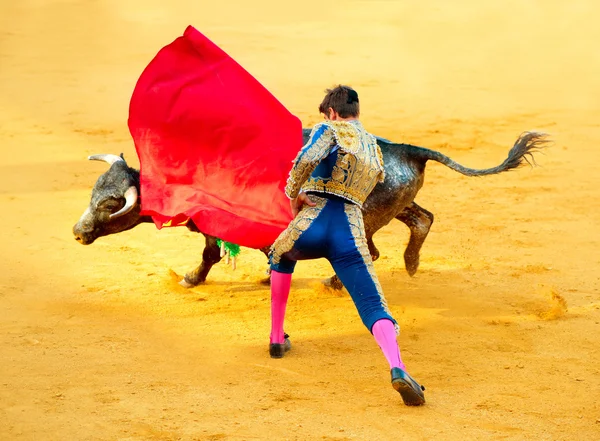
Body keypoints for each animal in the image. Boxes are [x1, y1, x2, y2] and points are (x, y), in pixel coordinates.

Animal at [71, 129, 548, 288]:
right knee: (422, 219)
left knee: (371, 252)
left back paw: (336, 283)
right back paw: (411, 265)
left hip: (366, 217)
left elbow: (211, 253)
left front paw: (191, 279)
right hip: (397, 204)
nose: (77, 232)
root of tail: (406, 148)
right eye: (92, 192)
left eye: (112, 204)